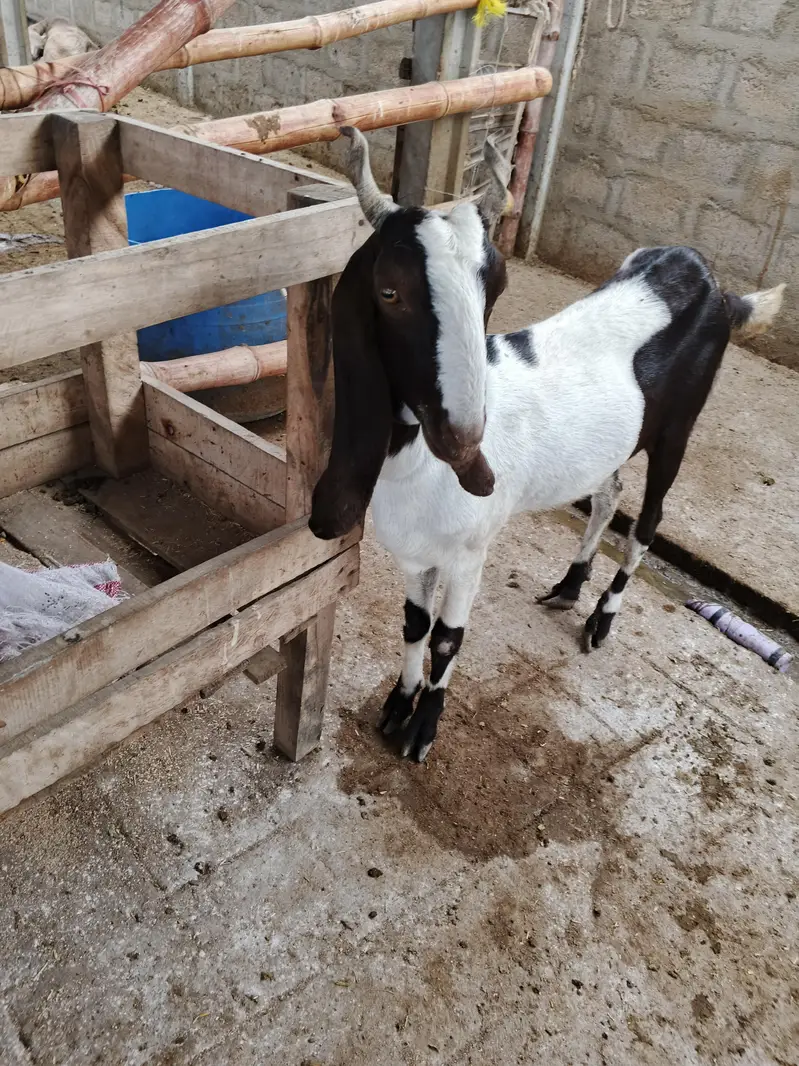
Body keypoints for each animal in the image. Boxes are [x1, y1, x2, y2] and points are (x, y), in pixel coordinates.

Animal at [310, 126, 786, 764]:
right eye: (389, 291)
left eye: (496, 283)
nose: (465, 446)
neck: (416, 469)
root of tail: (719, 290)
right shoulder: (416, 552)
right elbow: (412, 623)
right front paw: (396, 706)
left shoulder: (470, 552)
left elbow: (446, 639)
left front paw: (423, 729)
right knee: (609, 495)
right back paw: (569, 586)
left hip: (677, 430)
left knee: (648, 521)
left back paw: (602, 619)